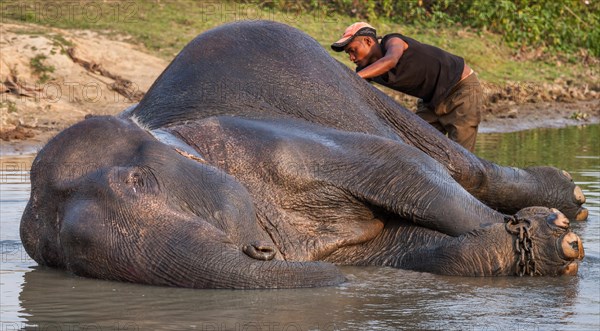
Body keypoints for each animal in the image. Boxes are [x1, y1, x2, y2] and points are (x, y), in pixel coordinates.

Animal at [18, 20, 584, 290]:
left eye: (141, 183)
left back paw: (570, 200)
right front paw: (532, 246)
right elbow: (405, 250)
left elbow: (403, 171)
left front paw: (556, 236)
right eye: (61, 258)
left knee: (460, 167)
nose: (261, 252)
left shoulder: (273, 144)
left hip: (355, 89)